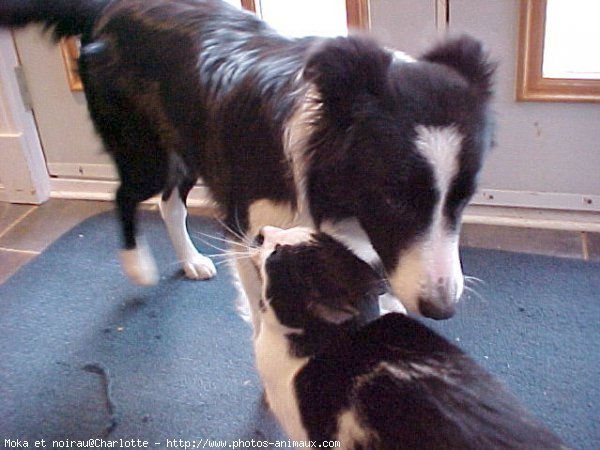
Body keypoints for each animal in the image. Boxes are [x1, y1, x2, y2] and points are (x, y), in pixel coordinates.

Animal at [1, 1, 496, 322]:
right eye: (393, 199)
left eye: (464, 200)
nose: (442, 309)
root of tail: (110, 6)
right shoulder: (248, 231)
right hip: (146, 153)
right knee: (125, 195)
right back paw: (138, 266)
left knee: (168, 202)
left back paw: (191, 261)